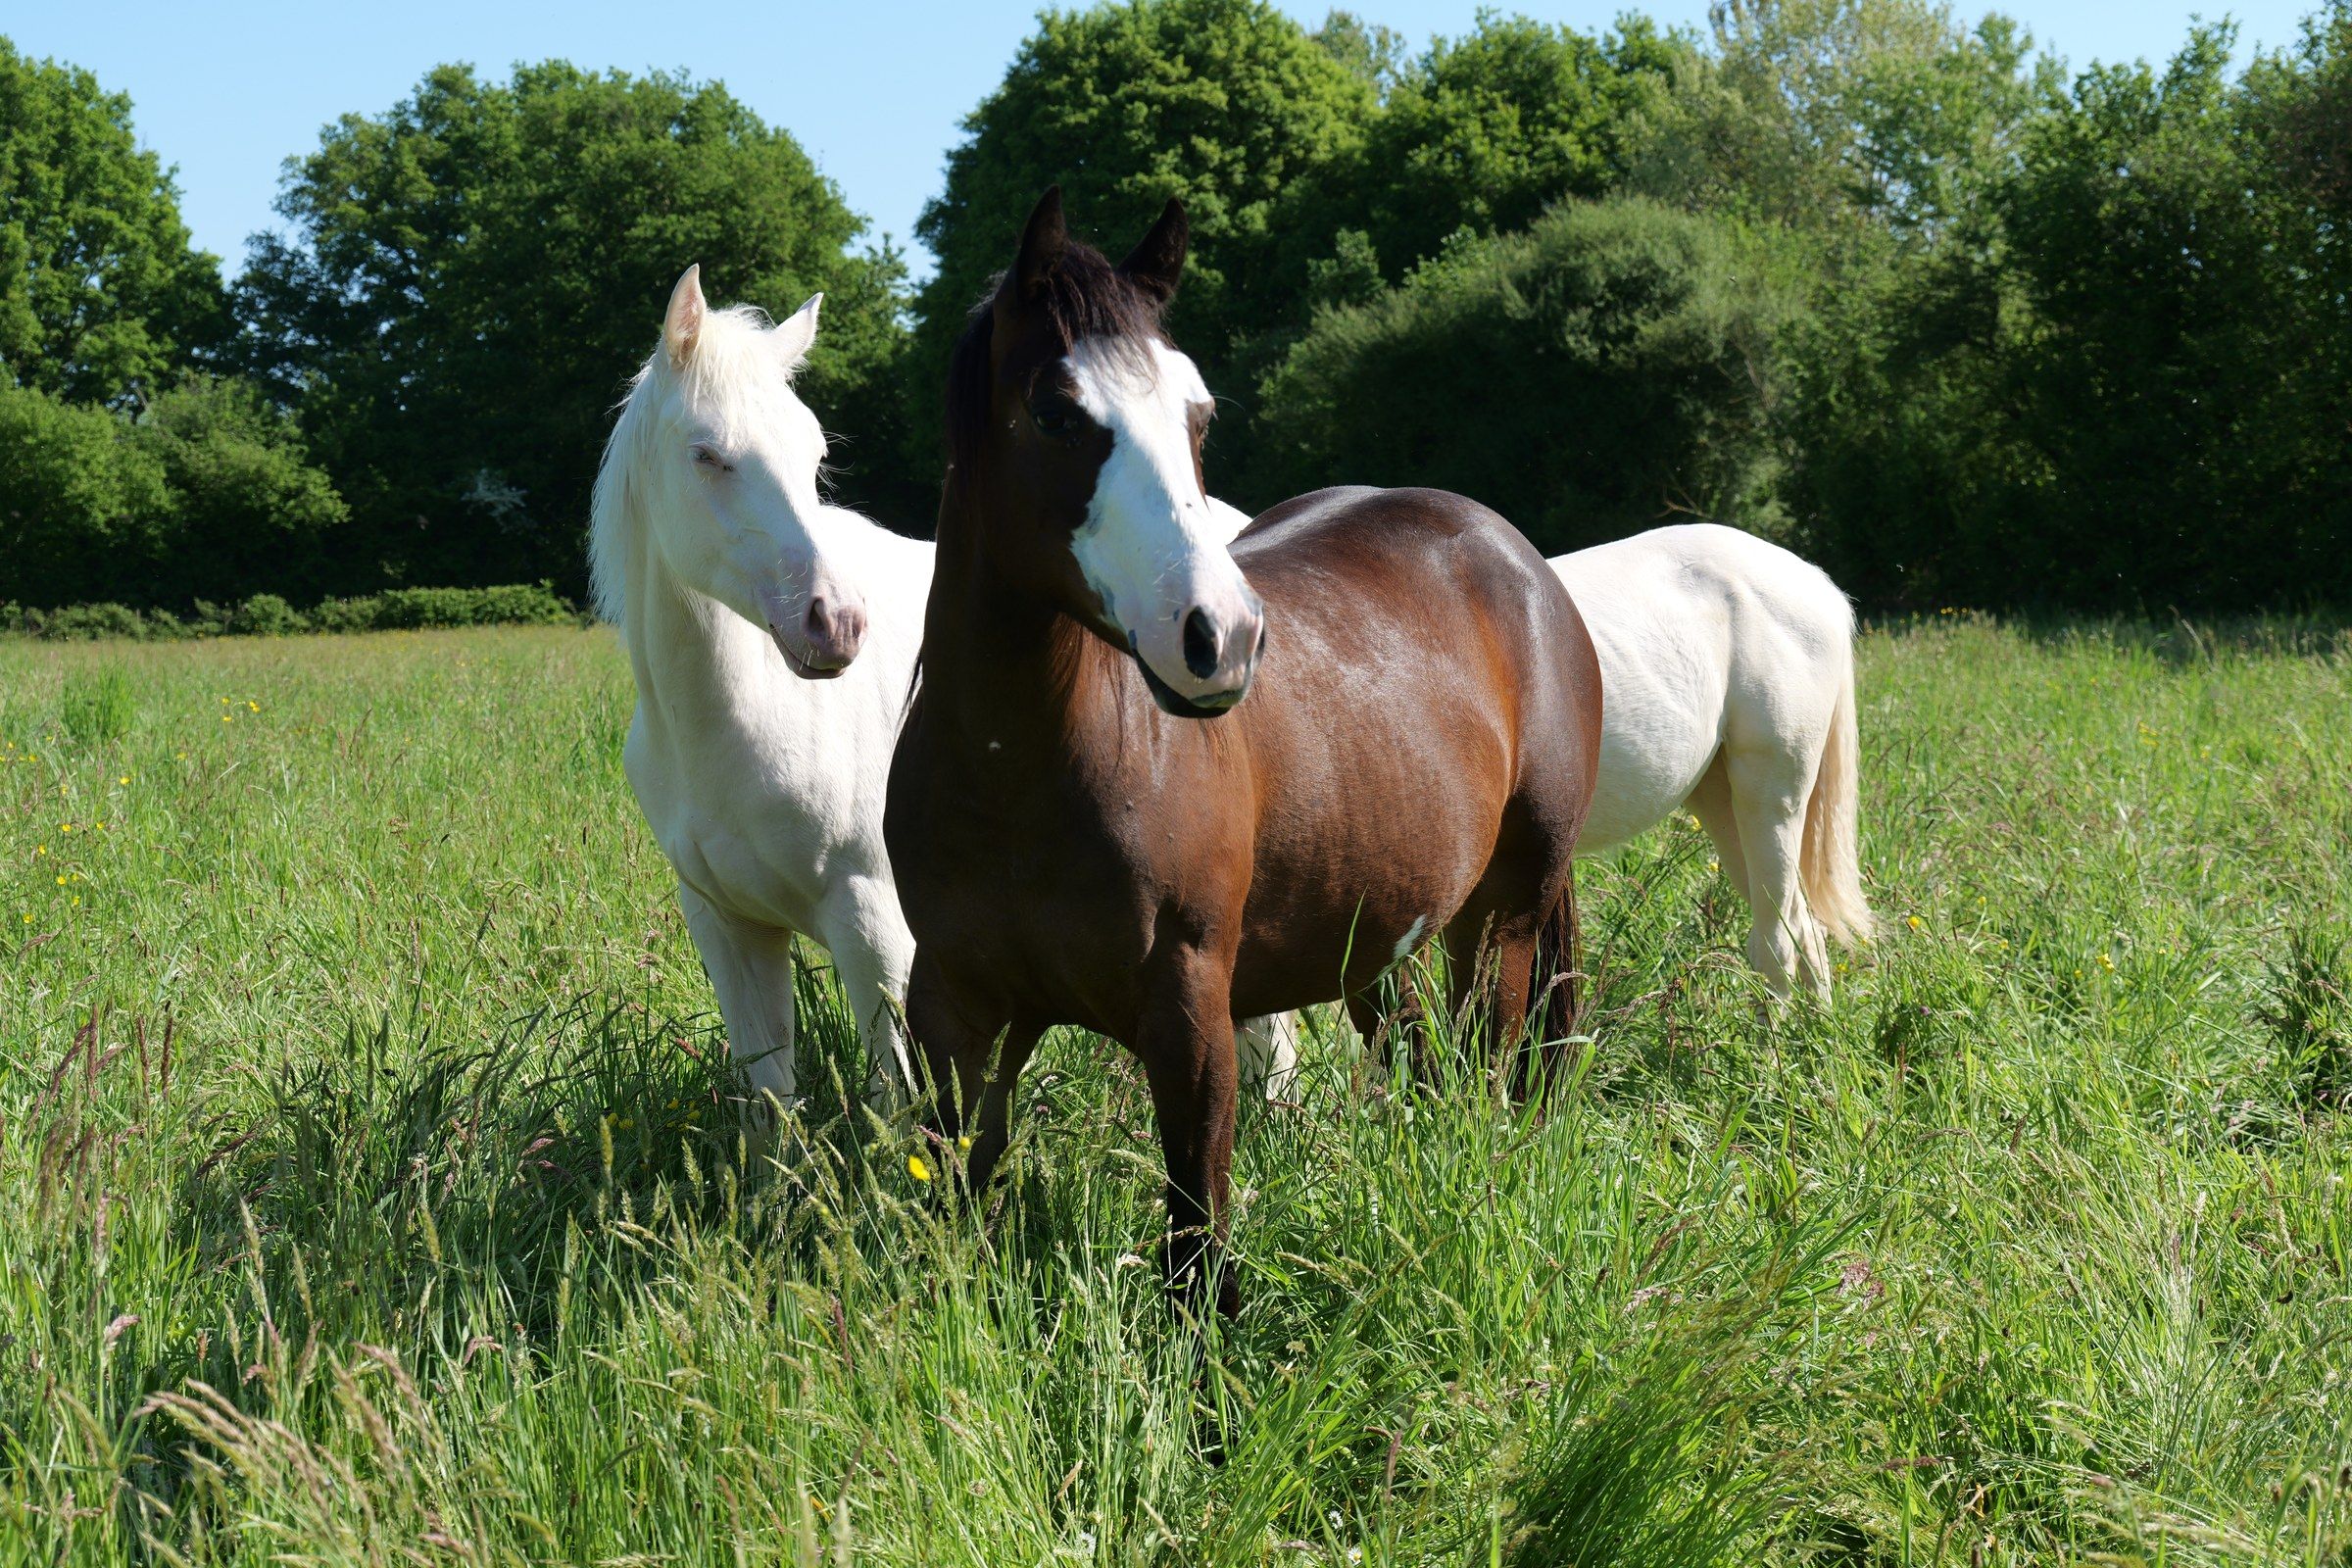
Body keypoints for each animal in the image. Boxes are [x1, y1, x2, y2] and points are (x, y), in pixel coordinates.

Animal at [590, 265, 1297, 1117]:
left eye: (813, 453)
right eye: (707, 455)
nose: (835, 622)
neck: (738, 722)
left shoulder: (878, 933)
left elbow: (897, 1107)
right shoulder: (730, 929)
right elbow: (771, 1109)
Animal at [883, 189, 1603, 1317]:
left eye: (1199, 415)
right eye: (1057, 411)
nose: (1221, 636)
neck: (1016, 775)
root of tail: (1516, 559)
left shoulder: (1188, 1012)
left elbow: (1196, 1236)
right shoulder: (953, 1009)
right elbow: (955, 1197)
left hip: (1505, 922)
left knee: (1488, 1065)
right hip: (1374, 933)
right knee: (1417, 1061)